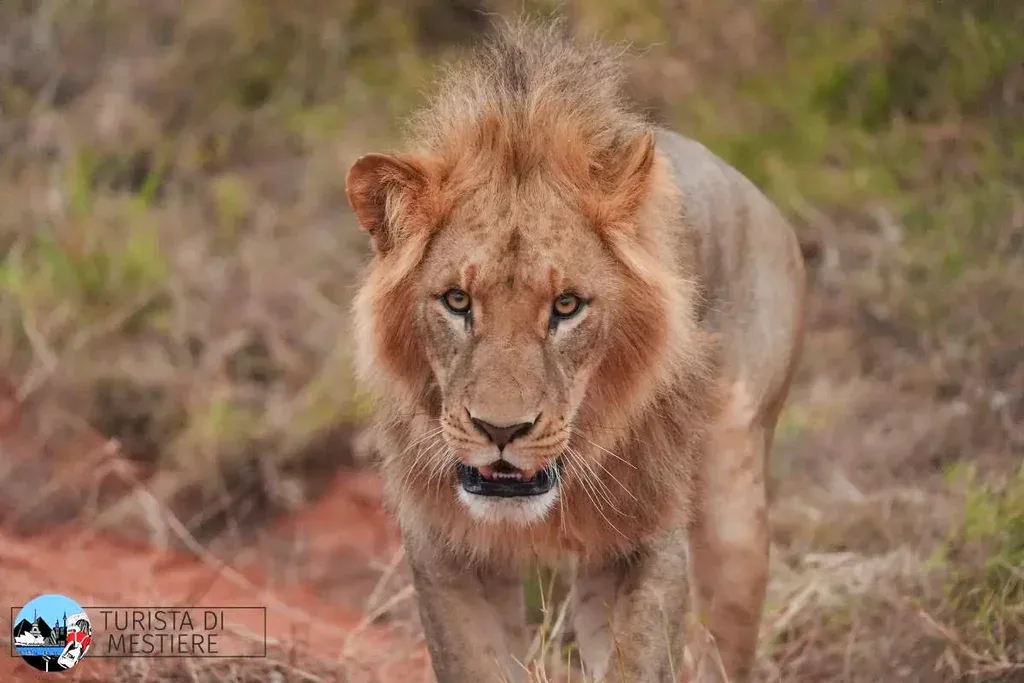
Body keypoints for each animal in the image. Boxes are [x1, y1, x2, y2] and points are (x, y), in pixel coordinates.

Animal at [345, 19, 805, 683]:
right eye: (457, 300)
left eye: (566, 306)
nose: (500, 430)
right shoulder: (443, 547)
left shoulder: (648, 537)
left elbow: (639, 662)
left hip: (734, 505)